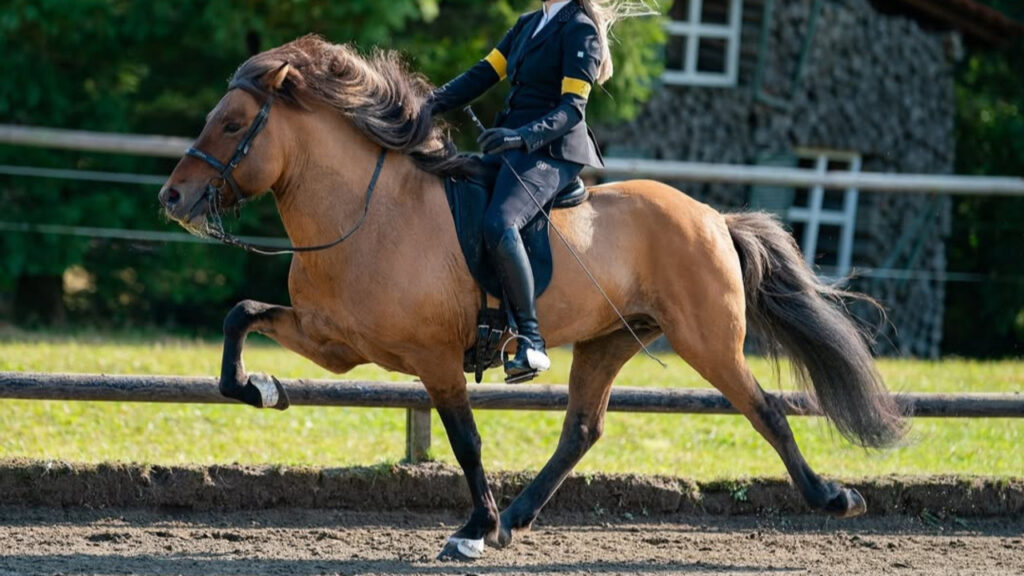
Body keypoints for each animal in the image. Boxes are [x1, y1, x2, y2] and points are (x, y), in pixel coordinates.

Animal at [159, 35, 906, 561]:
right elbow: (240, 317)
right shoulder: (331, 341)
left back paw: (833, 498)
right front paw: (261, 389)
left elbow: (465, 440)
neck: (367, 213)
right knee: (583, 429)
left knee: (766, 410)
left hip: (708, 341)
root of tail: (712, 217)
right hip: (610, 341)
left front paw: (473, 527)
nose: (173, 197)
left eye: (233, 125)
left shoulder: (434, 359)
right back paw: (518, 519)